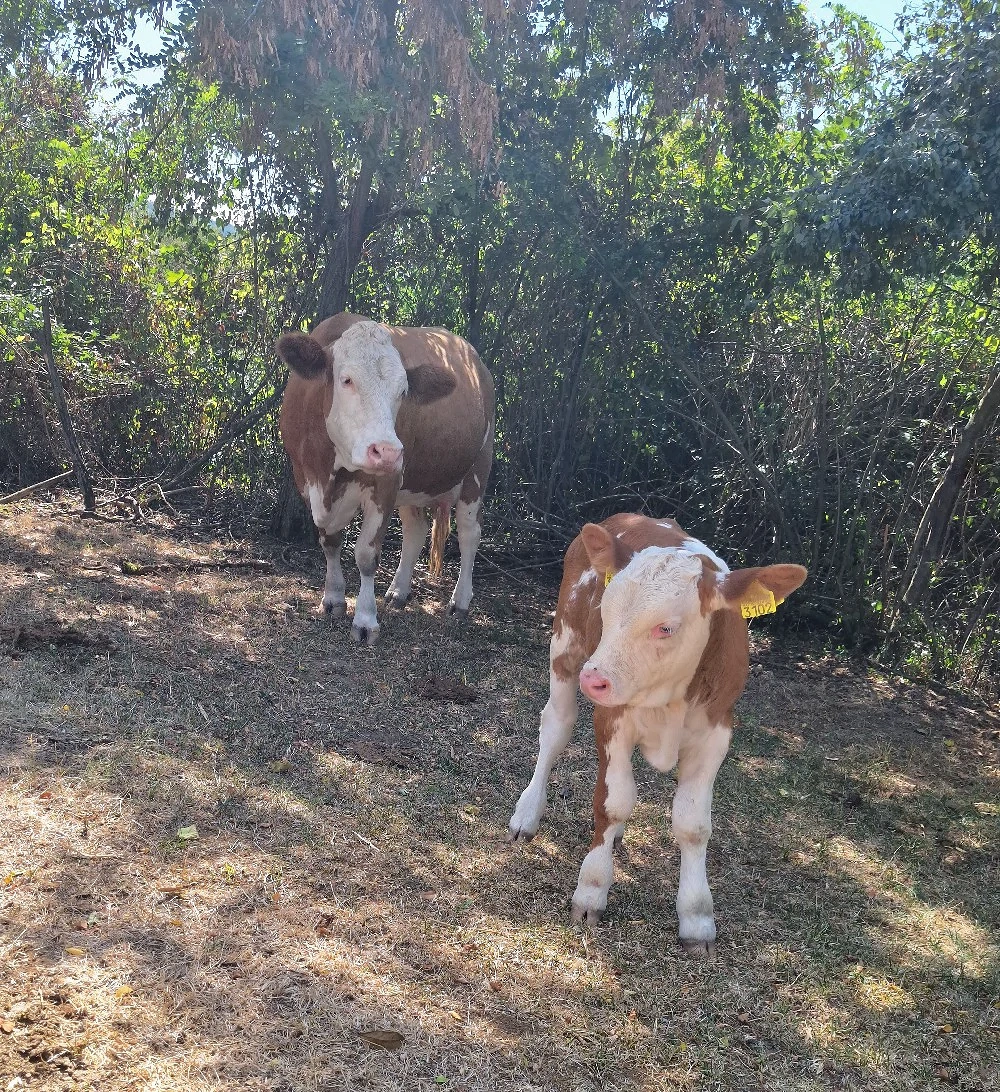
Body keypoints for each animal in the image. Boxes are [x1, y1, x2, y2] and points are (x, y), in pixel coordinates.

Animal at [277, 313, 495, 644]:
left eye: (402, 391)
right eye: (347, 379)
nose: (389, 451)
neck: (329, 470)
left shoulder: (385, 485)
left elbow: (366, 554)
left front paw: (365, 620)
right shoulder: (306, 480)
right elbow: (329, 541)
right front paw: (333, 599)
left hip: (477, 470)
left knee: (470, 534)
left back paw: (460, 602)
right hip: (414, 484)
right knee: (415, 529)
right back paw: (398, 592)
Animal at [509, 513, 807, 955]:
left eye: (665, 628)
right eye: (606, 609)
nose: (593, 678)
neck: (670, 696)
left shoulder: (717, 730)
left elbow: (692, 823)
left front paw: (697, 918)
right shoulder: (611, 716)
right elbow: (613, 802)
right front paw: (592, 889)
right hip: (566, 644)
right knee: (557, 727)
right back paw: (527, 813)